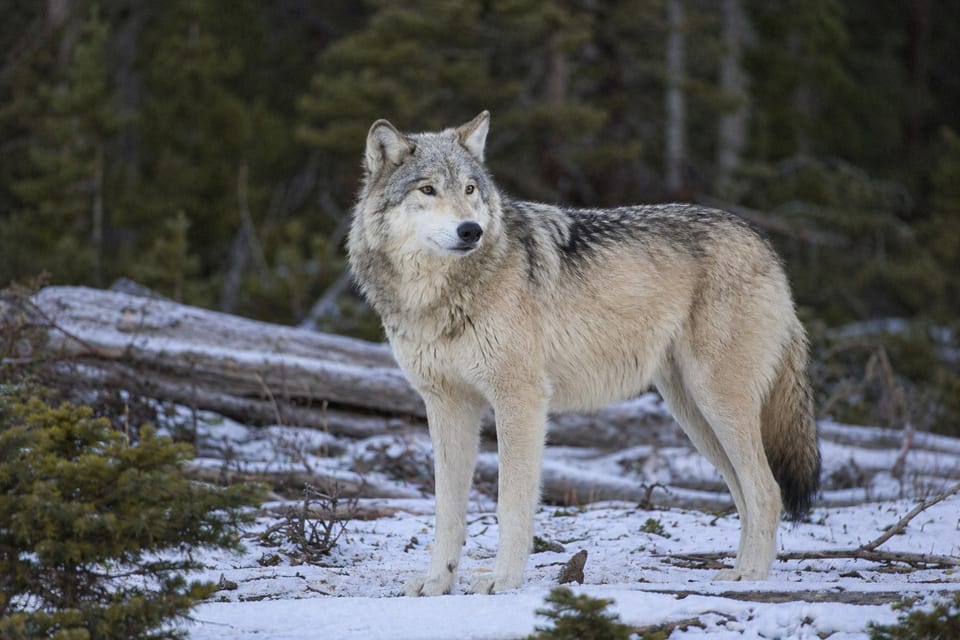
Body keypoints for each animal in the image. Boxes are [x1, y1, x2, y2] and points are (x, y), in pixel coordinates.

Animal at [347, 111, 820, 596]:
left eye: (470, 189)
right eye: (427, 189)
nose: (470, 231)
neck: (440, 295)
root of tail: (764, 243)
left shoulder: (519, 399)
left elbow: (510, 503)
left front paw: (503, 580)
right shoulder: (446, 404)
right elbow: (446, 510)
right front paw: (437, 583)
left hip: (718, 404)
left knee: (767, 490)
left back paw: (751, 577)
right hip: (694, 415)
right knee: (743, 493)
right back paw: (738, 568)